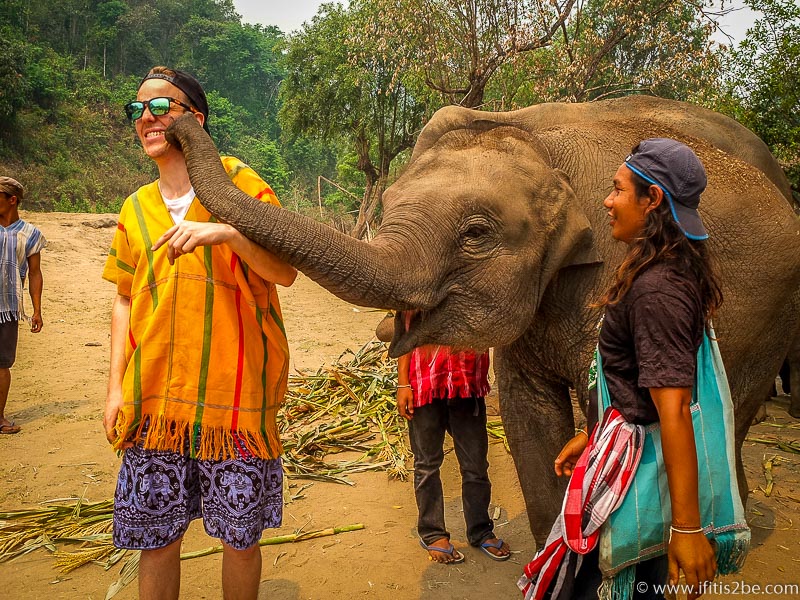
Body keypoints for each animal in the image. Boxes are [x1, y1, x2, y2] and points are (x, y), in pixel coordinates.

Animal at [164, 95, 800, 548]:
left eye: (476, 234)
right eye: (388, 206)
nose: (170, 118)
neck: (543, 148)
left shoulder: (611, 276)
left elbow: (609, 414)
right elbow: (527, 413)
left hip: (769, 317)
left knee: (733, 408)